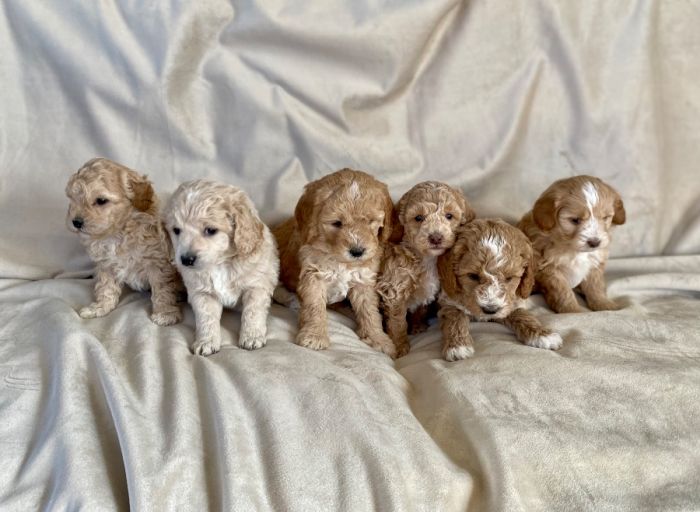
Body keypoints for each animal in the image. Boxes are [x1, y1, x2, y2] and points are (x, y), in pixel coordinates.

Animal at [164, 180, 278, 356]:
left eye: (211, 230)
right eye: (176, 230)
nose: (186, 260)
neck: (221, 263)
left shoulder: (256, 286)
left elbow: (252, 312)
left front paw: (252, 337)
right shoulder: (202, 293)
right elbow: (206, 319)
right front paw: (206, 342)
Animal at [272, 168, 396, 356]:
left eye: (370, 221)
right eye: (337, 223)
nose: (357, 251)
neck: (340, 260)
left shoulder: (363, 280)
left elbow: (369, 310)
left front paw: (377, 338)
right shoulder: (313, 276)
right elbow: (314, 307)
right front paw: (315, 335)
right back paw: (290, 299)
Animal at [378, 182, 476, 358]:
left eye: (449, 216)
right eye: (418, 218)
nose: (436, 237)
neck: (426, 258)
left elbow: (421, 309)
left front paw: (418, 325)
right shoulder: (395, 288)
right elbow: (397, 323)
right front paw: (399, 347)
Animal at [438, 219, 564, 360]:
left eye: (509, 278)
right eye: (473, 276)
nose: (490, 310)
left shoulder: (510, 303)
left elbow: (521, 314)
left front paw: (542, 334)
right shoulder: (449, 301)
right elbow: (455, 318)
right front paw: (457, 346)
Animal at [516, 174, 628, 314]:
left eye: (605, 218)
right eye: (575, 220)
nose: (594, 242)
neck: (573, 249)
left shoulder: (594, 263)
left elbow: (595, 286)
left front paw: (604, 305)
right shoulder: (550, 270)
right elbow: (563, 292)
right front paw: (573, 310)